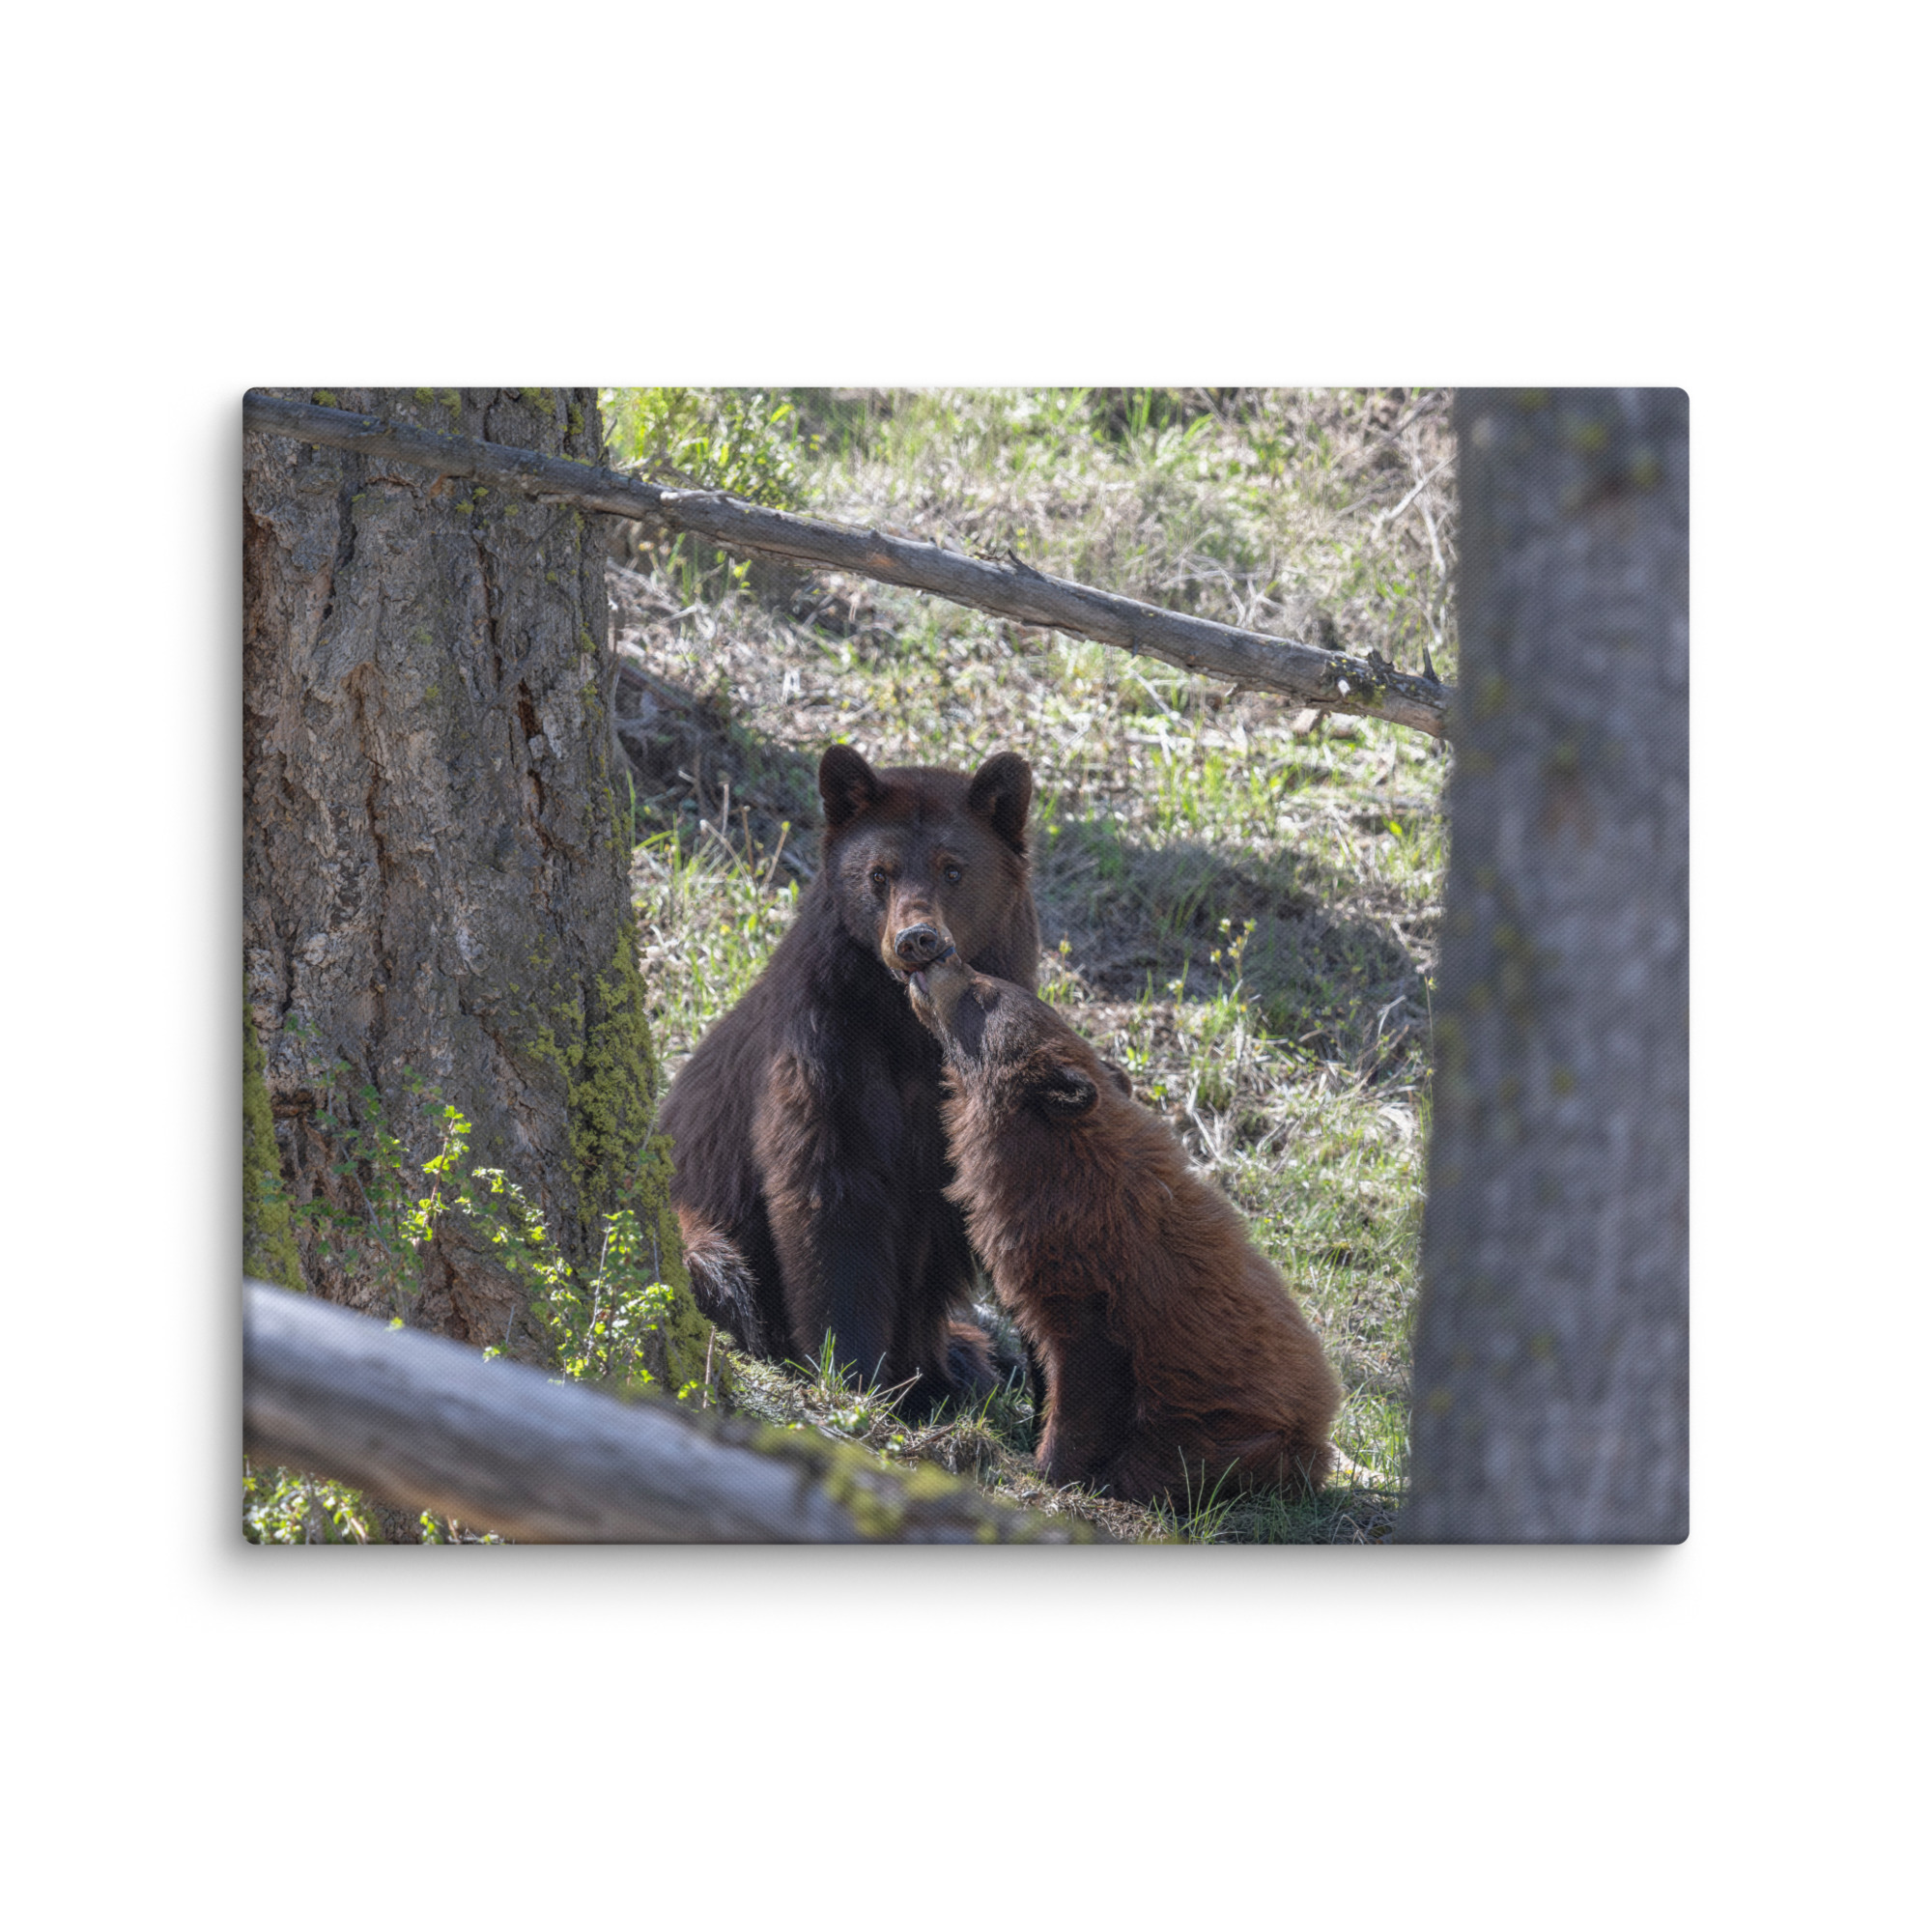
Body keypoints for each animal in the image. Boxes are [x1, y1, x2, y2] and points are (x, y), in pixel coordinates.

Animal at [658, 743, 1041, 1421]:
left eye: (953, 869)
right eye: (879, 874)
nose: (917, 939)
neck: (910, 1028)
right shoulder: (824, 1046)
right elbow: (830, 1195)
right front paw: (855, 1373)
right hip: (695, 1225)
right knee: (719, 1268)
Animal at [905, 946, 1343, 1505]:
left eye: (984, 992)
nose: (941, 954)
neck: (1056, 1164)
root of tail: (1320, 1437)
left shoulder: (1093, 1279)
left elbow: (1086, 1378)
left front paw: (1048, 1466)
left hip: (1233, 1438)